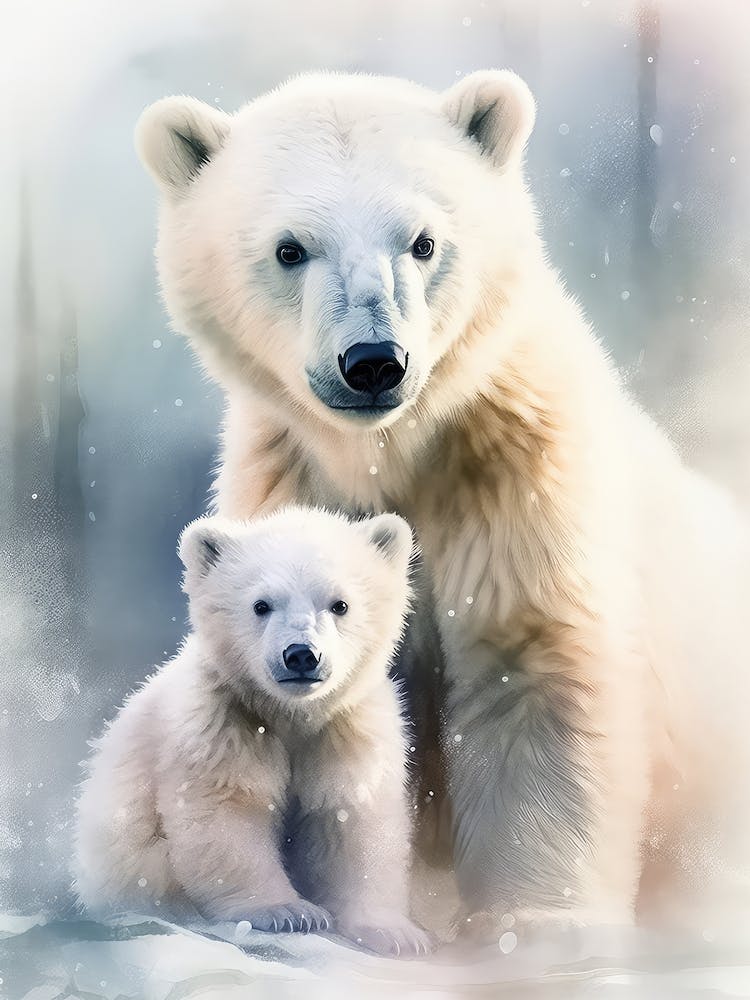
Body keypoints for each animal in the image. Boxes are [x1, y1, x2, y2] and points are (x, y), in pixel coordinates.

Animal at [72, 506, 431, 957]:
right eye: (261, 605)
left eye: (340, 604)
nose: (301, 655)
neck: (291, 715)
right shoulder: (221, 724)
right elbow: (228, 814)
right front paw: (289, 912)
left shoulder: (346, 731)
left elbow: (353, 819)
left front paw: (396, 933)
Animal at [134, 71, 750, 940]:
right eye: (290, 248)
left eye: (423, 242)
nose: (372, 361)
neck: (389, 453)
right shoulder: (290, 486)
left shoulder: (514, 485)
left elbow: (531, 673)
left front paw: (533, 921)